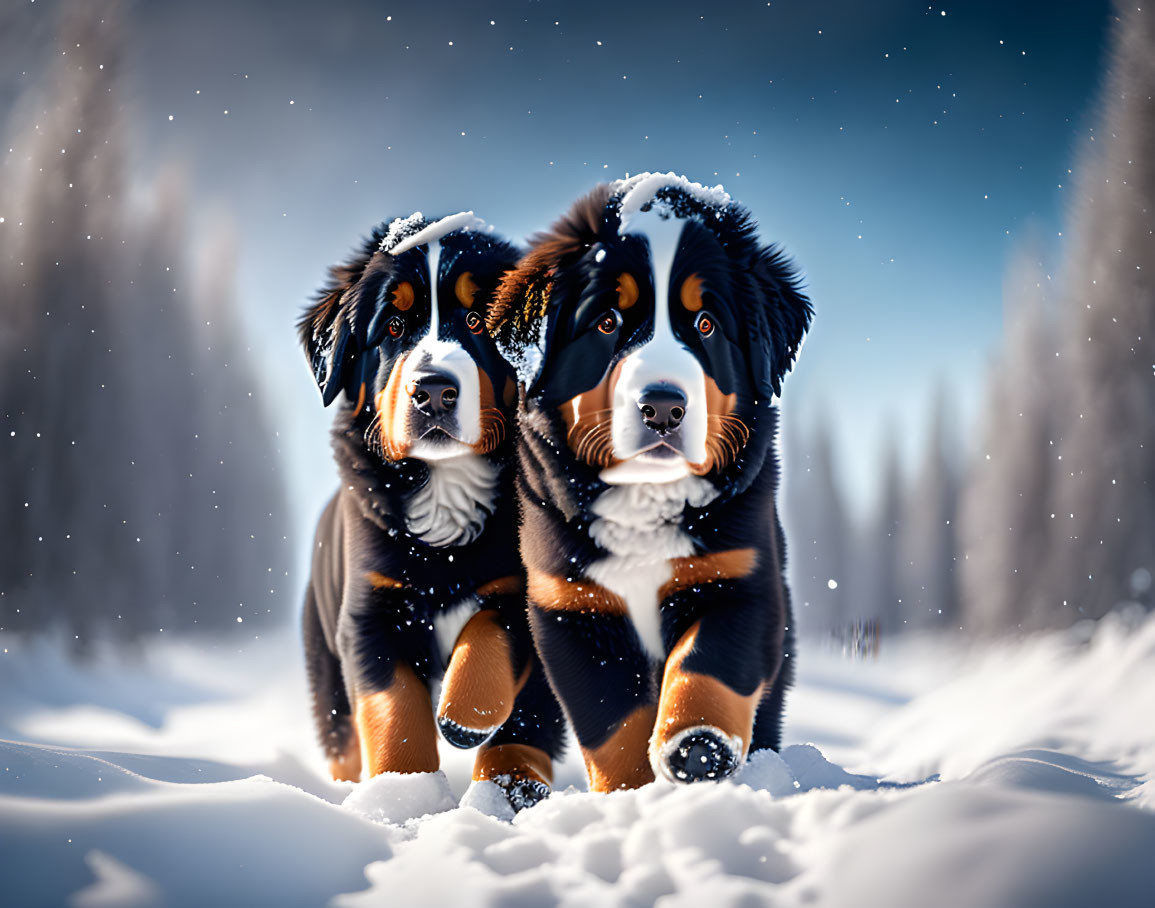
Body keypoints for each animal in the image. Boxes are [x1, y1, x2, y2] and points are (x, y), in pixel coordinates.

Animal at [300, 212, 565, 808]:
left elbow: (494, 641)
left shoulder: (530, 588)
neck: (446, 486)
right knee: (342, 736)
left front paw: (473, 729)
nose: (435, 392)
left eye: (477, 321)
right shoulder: (370, 613)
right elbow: (393, 707)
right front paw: (405, 798)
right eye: (394, 327)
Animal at [489, 175, 813, 785]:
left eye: (706, 324)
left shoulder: (740, 578)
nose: (663, 407)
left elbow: (707, 665)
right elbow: (612, 724)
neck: (644, 500)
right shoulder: (572, 606)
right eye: (607, 322)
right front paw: (630, 793)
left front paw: (696, 747)